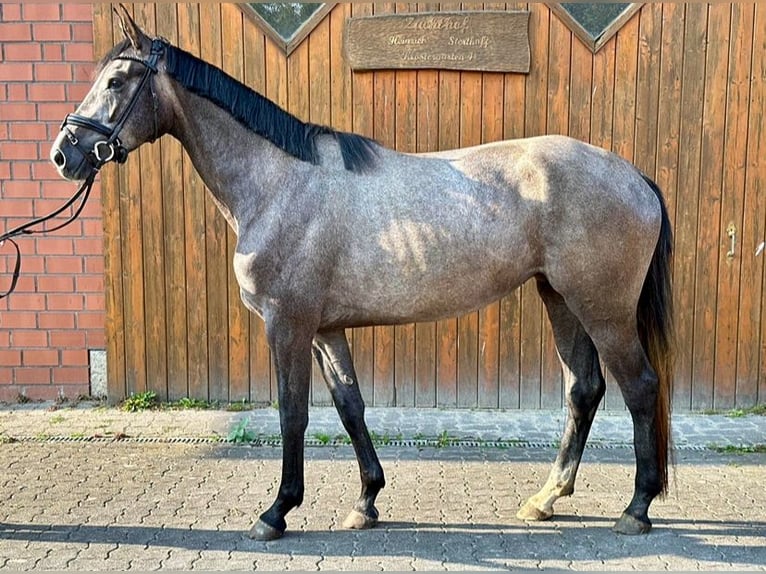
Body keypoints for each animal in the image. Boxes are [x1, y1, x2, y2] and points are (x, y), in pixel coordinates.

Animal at [51, 6, 672, 544]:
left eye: (117, 80)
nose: (65, 153)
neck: (280, 184)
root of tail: (634, 176)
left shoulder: (288, 326)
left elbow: (293, 414)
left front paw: (276, 512)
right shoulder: (326, 330)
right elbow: (350, 407)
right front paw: (366, 500)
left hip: (603, 309)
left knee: (640, 387)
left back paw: (636, 508)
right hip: (560, 298)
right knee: (583, 388)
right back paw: (546, 499)